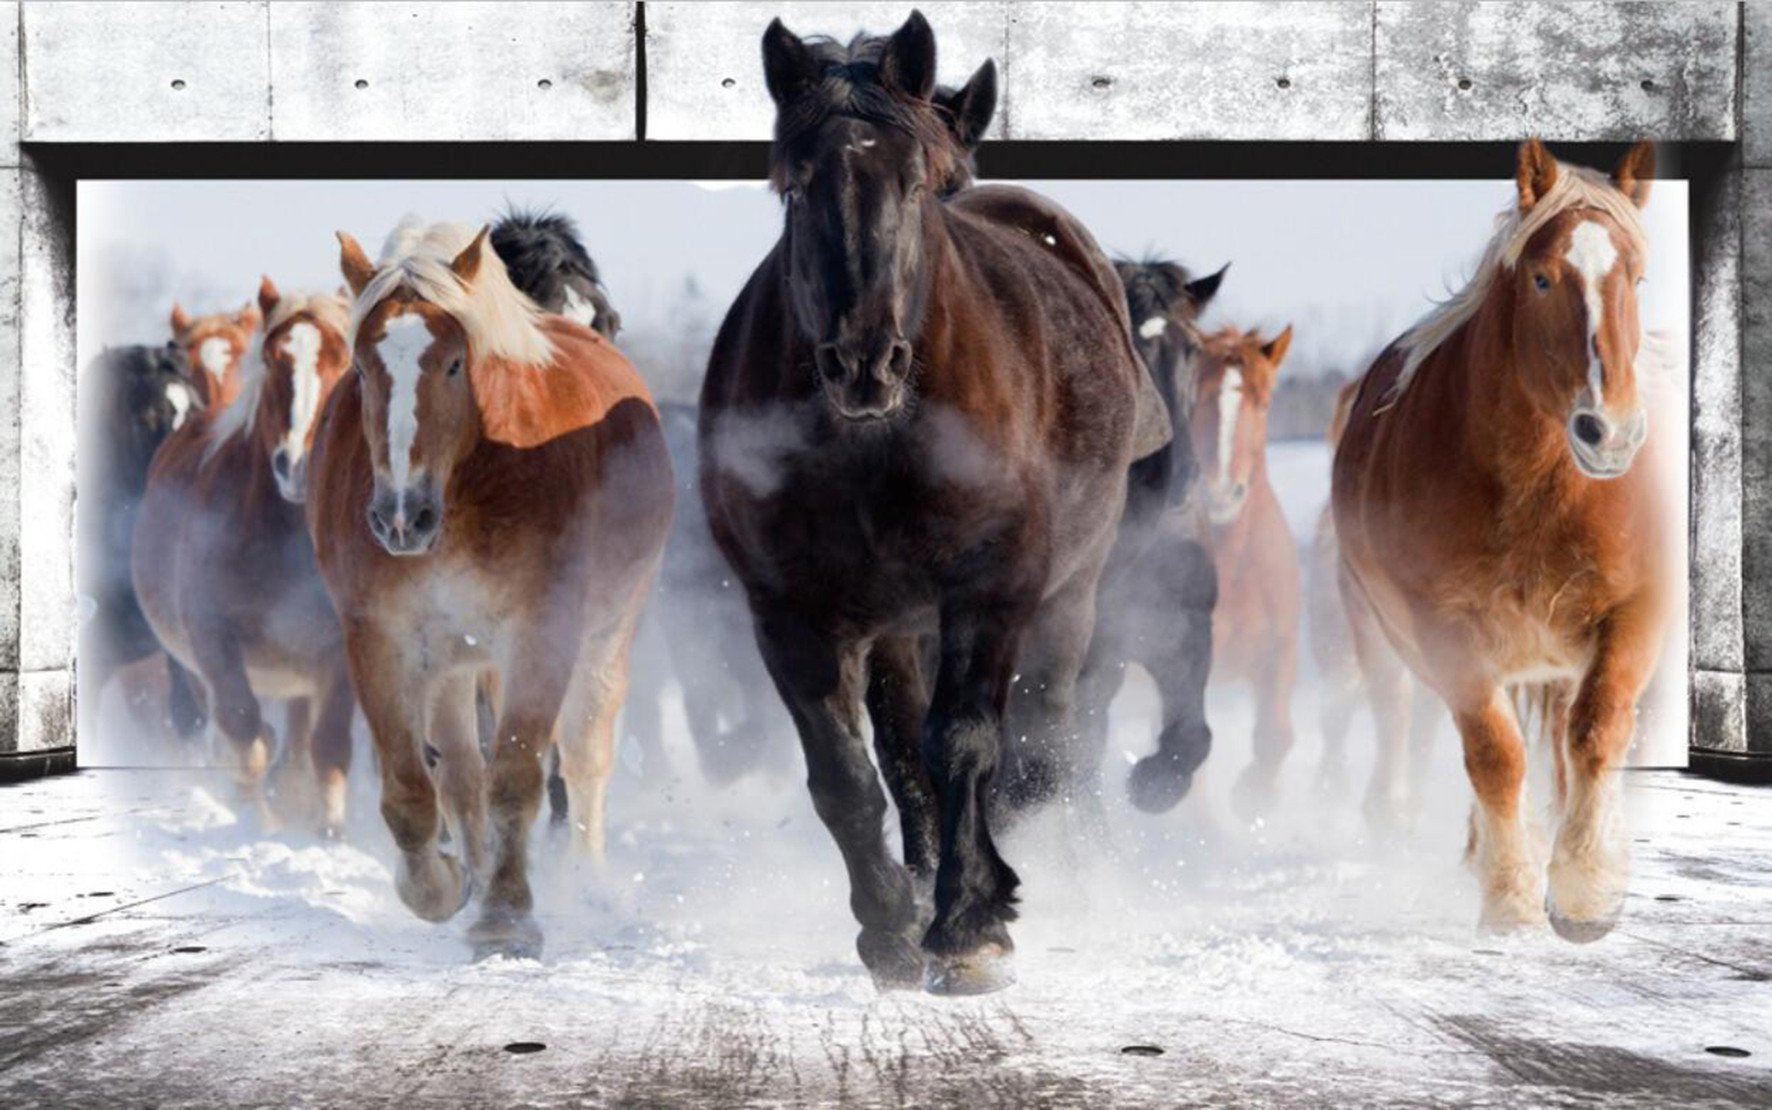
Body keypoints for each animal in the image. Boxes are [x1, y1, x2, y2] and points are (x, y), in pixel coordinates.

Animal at [134, 279, 357, 831]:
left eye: (345, 361)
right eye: (274, 361)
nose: (297, 465)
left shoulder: (342, 650)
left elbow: (328, 748)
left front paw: (327, 832)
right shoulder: (213, 642)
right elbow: (244, 736)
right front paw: (260, 822)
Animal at [310, 219, 672, 958]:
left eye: (454, 363)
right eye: (360, 367)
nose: (400, 517)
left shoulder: (541, 635)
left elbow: (517, 776)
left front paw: (507, 918)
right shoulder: (380, 640)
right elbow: (414, 788)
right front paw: (446, 887)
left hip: (603, 636)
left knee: (584, 757)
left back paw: (585, 881)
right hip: (455, 661)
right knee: (460, 771)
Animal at [700, 12, 1151, 994]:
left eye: (914, 183)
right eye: (796, 186)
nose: (864, 361)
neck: (876, 445)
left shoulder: (991, 590)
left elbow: (968, 745)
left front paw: (971, 923)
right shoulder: (794, 614)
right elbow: (848, 775)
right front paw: (891, 928)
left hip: (1069, 595)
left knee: (1036, 746)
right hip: (897, 626)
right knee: (906, 753)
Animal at [1332, 139, 1663, 941]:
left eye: (1637, 277)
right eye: (1542, 278)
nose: (1610, 433)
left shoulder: (1635, 612)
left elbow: (1597, 733)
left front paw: (1585, 888)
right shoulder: (1446, 631)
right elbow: (1494, 756)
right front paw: (1511, 898)